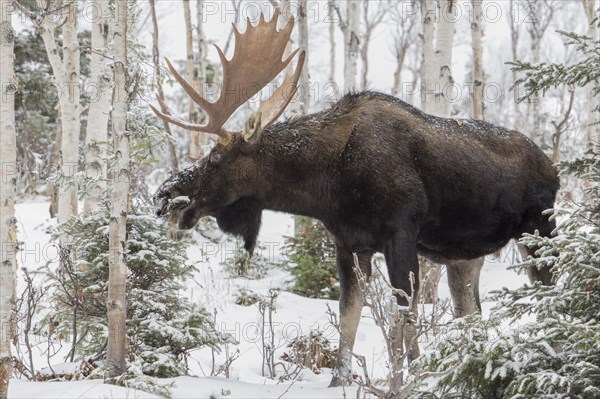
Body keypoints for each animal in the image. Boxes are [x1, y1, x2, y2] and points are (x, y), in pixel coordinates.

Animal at [150, 11, 556, 388]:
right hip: (465, 258)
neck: (329, 185)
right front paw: (340, 380)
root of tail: (555, 170)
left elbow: (405, 316)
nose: (163, 193)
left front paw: (412, 377)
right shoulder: (349, 243)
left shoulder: (400, 233)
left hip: (540, 232)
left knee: (547, 294)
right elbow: (349, 317)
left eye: (216, 159)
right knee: (472, 313)